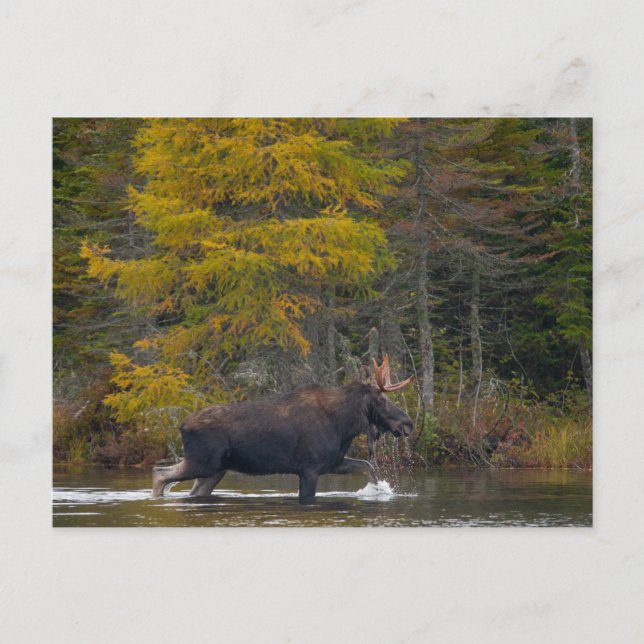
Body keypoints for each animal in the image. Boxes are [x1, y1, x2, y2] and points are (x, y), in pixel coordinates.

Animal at [151, 356, 414, 502]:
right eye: (382, 399)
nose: (408, 423)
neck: (344, 426)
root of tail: (181, 425)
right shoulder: (309, 468)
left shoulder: (332, 462)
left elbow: (369, 467)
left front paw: (377, 491)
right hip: (203, 462)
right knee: (159, 473)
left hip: (216, 470)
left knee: (190, 488)